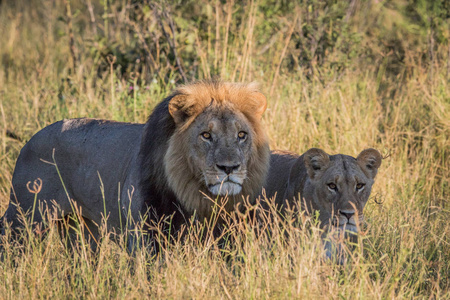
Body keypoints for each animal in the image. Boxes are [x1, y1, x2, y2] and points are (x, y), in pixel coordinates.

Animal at [0, 80, 270, 246]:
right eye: (206, 135)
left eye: (241, 135)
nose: (229, 168)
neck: (195, 194)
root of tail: (30, 139)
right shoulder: (143, 236)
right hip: (23, 219)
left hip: (82, 229)